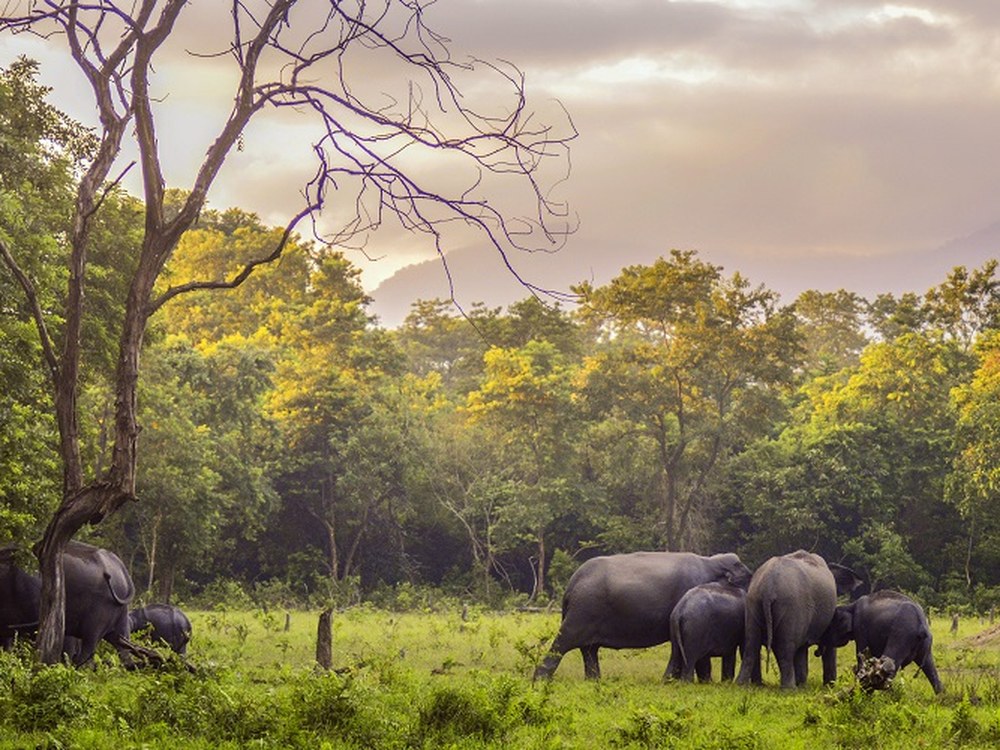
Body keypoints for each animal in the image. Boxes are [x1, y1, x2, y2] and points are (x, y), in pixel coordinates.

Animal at [533, 551, 752, 680]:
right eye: (748, 576)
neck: (711, 561)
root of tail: (571, 584)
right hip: (583, 611)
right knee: (564, 642)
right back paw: (540, 680)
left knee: (589, 650)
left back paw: (593, 681)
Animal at [736, 550, 862, 688]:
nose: (817, 652)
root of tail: (768, 588)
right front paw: (826, 686)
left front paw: (803, 683)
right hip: (792, 608)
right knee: (785, 648)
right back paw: (790, 688)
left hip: (753, 603)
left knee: (751, 644)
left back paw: (742, 685)